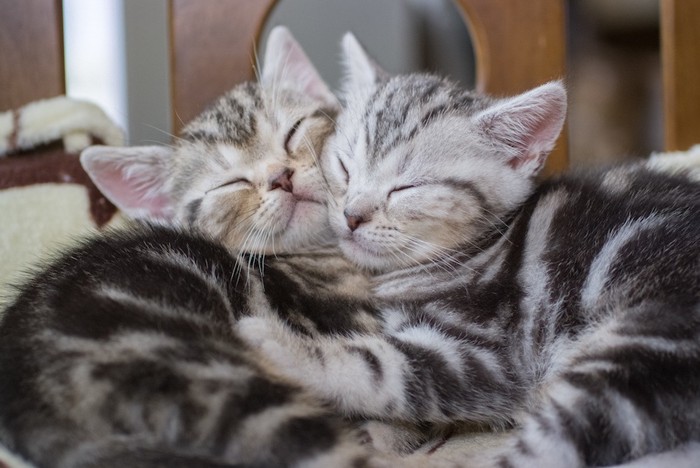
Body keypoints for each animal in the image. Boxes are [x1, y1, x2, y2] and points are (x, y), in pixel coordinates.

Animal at [239, 33, 700, 468]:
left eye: (406, 188)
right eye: (344, 167)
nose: (353, 216)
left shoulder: (491, 355)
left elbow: (374, 368)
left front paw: (274, 341)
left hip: (641, 343)